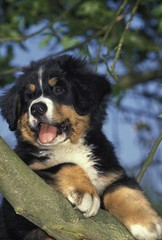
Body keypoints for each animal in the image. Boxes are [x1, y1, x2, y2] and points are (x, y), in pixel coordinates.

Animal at [0, 54, 162, 240]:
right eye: (29, 96)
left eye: (58, 90)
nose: (36, 108)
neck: (68, 146)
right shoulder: (20, 195)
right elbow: (64, 165)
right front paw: (85, 193)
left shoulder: (111, 171)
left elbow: (119, 187)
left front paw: (147, 222)